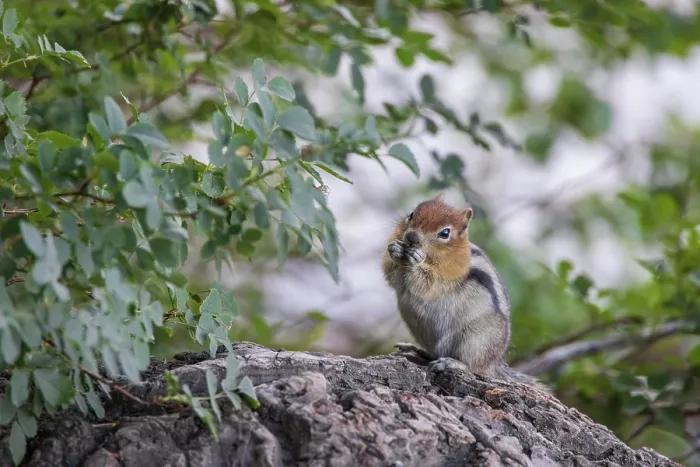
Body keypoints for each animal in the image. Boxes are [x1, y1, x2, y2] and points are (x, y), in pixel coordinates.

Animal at [382, 193, 546, 391]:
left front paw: (415, 260)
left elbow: (428, 283)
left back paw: (452, 363)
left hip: (476, 340)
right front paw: (395, 249)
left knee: (473, 366)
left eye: (445, 233)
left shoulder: (447, 276)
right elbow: (391, 274)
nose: (412, 236)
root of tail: (495, 363)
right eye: (412, 214)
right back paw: (416, 350)